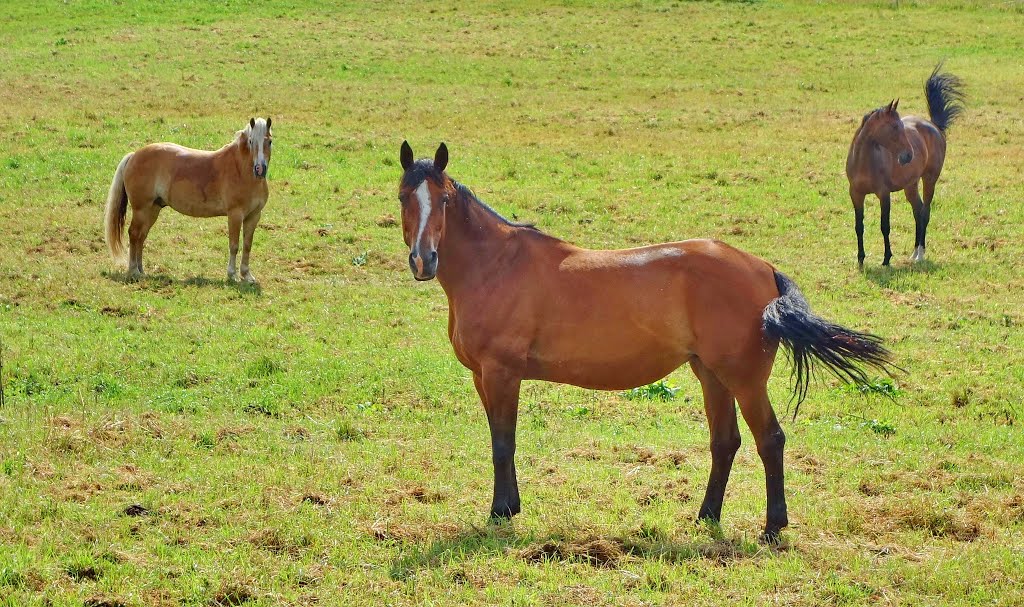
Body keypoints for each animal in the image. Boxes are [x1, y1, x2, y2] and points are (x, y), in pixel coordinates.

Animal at [102, 116, 276, 282]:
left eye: (270, 141)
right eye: (251, 141)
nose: (259, 169)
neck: (241, 170)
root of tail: (134, 155)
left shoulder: (253, 216)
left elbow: (247, 245)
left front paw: (247, 275)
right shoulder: (235, 214)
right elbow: (234, 245)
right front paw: (232, 275)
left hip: (152, 210)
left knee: (141, 236)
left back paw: (141, 270)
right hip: (141, 209)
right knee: (134, 234)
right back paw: (134, 271)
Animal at [397, 141, 897, 540]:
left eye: (443, 200)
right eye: (404, 196)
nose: (423, 261)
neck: (496, 264)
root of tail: (763, 270)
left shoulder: (501, 373)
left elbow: (504, 442)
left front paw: (500, 512)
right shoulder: (483, 376)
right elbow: (499, 439)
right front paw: (510, 506)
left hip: (744, 379)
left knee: (769, 439)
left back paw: (773, 527)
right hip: (711, 374)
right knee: (725, 442)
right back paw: (706, 516)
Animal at [843, 63, 962, 268]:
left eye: (901, 126)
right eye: (894, 127)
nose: (908, 156)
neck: (864, 162)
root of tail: (935, 127)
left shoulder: (883, 194)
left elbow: (885, 226)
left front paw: (886, 258)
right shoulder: (856, 194)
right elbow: (859, 226)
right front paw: (860, 260)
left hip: (929, 180)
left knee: (925, 211)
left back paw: (920, 254)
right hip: (910, 185)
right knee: (918, 211)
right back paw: (914, 253)